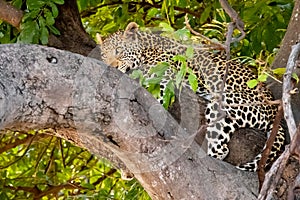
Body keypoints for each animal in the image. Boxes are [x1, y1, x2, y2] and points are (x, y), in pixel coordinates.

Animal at [98, 21, 286, 171]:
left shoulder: (168, 77)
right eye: (104, 56)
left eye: (119, 51)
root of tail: (276, 113)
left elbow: (158, 98)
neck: (147, 49)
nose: (111, 66)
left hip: (227, 103)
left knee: (221, 148)